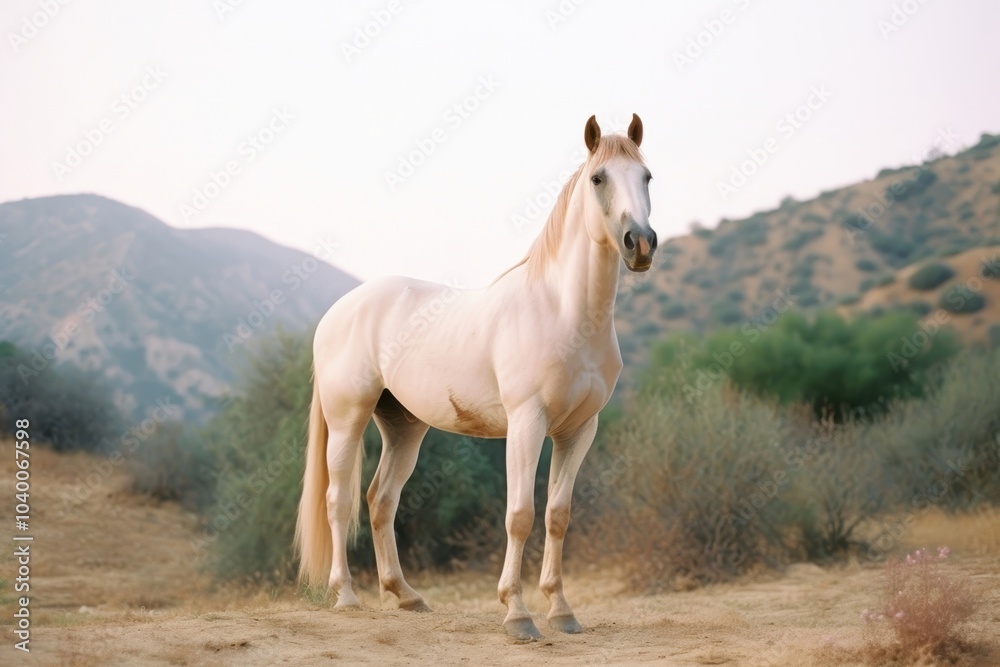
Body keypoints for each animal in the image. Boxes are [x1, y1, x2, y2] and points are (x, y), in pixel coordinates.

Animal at [295, 113, 656, 640]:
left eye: (647, 177)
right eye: (598, 178)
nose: (641, 244)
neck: (563, 312)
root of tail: (337, 311)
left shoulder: (578, 431)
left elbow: (558, 515)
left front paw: (562, 610)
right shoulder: (526, 424)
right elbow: (520, 515)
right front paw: (517, 614)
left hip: (404, 428)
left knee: (380, 499)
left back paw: (405, 596)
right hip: (348, 421)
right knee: (338, 499)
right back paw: (345, 595)